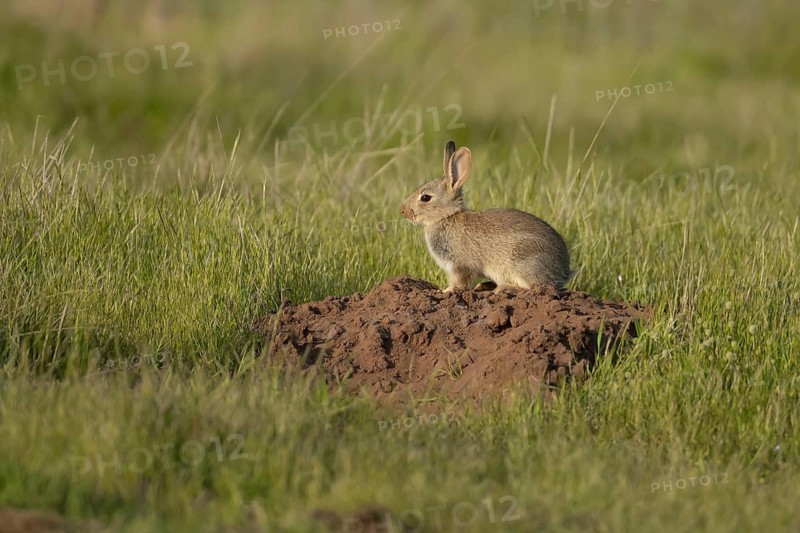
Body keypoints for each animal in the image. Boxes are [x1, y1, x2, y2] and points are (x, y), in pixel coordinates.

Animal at [400, 140, 573, 293]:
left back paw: (502, 289)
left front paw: (444, 291)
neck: (446, 217)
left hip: (522, 262)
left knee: (531, 287)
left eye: (425, 198)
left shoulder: (460, 265)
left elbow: (460, 283)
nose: (403, 211)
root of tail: (563, 271)